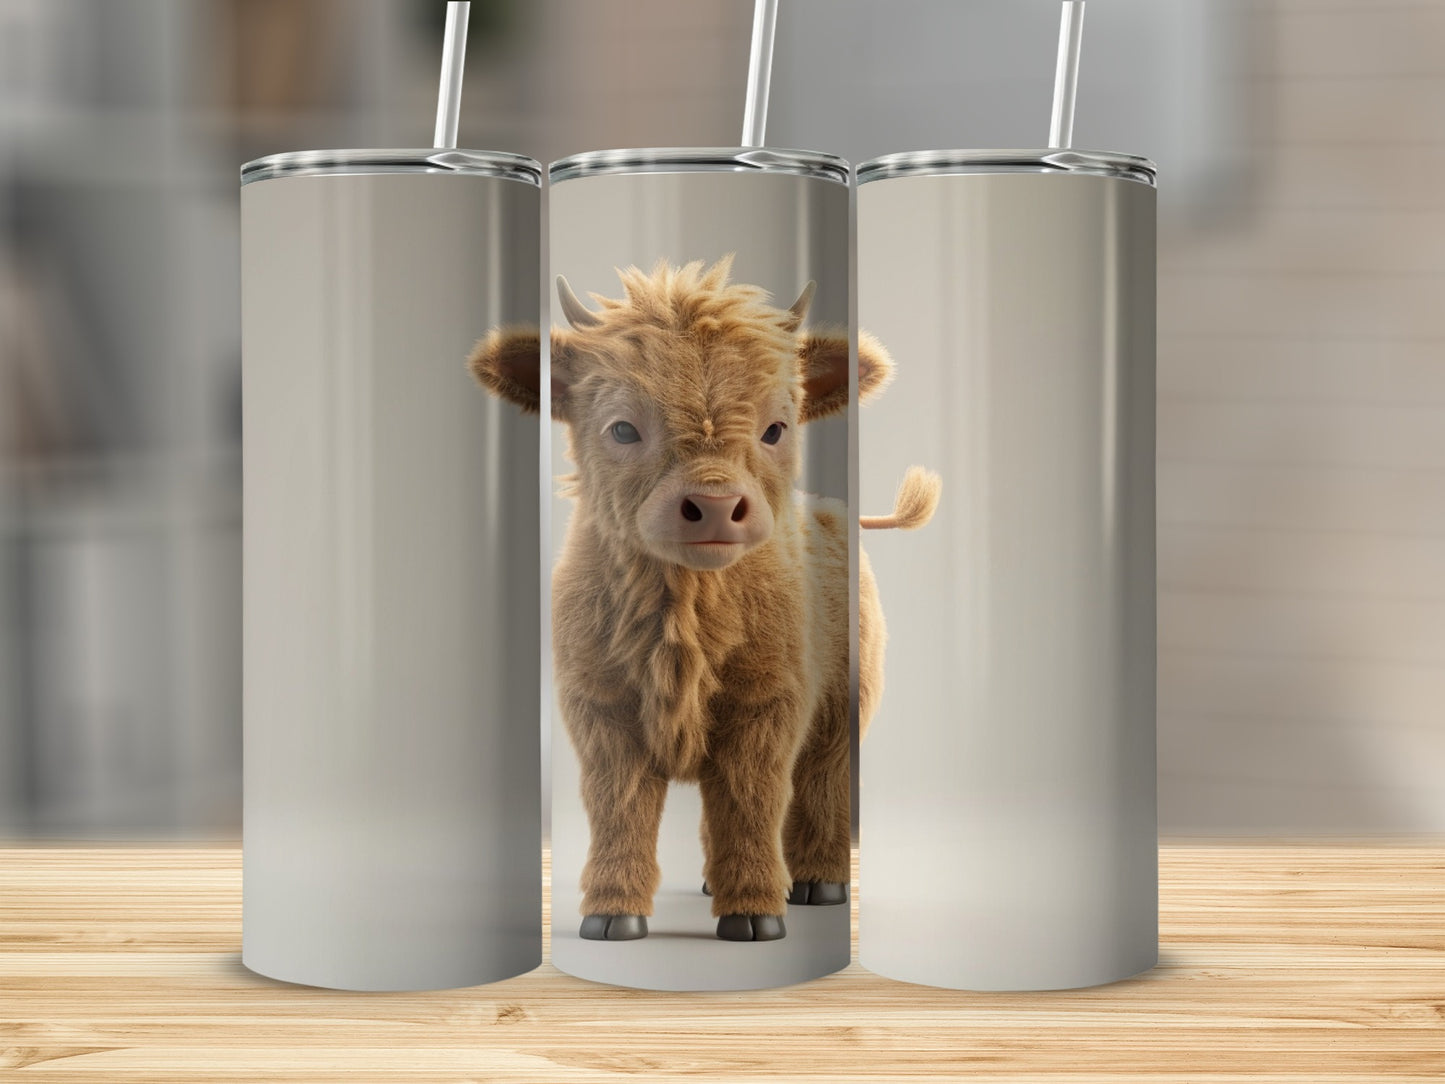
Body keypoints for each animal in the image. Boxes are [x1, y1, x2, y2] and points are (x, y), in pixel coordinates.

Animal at [469, 256, 938, 941]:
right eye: (622, 427)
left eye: (777, 427)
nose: (714, 503)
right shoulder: (601, 711)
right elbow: (620, 807)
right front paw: (612, 913)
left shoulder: (767, 707)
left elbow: (750, 801)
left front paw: (754, 914)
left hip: (845, 711)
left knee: (821, 787)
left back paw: (818, 884)